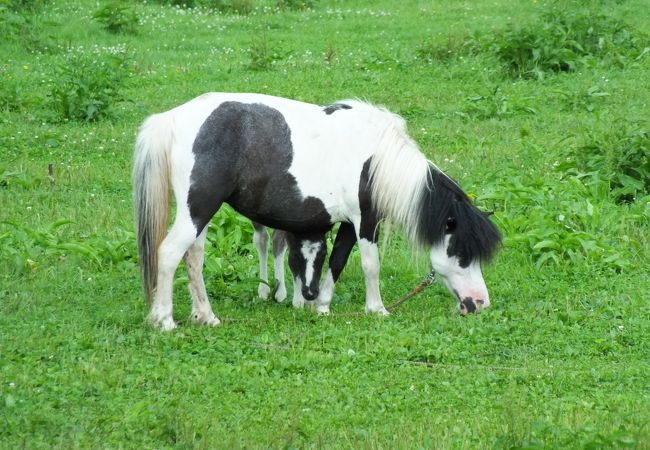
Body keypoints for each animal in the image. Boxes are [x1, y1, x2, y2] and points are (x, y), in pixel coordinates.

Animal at [130, 92, 496, 330]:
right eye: (463, 253)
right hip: (198, 209)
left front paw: (321, 305)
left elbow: (337, 262)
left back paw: (205, 316)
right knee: (169, 254)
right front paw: (377, 309)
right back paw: (164, 321)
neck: (377, 160)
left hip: (199, 214)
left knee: (193, 258)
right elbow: (370, 265)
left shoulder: (348, 224)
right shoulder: (366, 221)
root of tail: (171, 119)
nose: (480, 303)